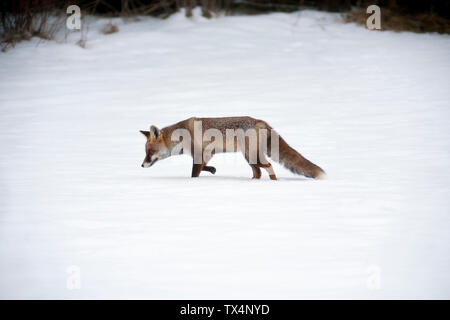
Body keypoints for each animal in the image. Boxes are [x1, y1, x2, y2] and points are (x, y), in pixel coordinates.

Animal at [139, 116, 326, 180]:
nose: (141, 165)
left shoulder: (198, 154)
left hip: (252, 156)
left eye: (150, 152)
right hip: (249, 157)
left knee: (268, 167)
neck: (182, 136)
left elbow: (194, 174)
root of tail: (262, 122)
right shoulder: (207, 153)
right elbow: (206, 167)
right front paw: (213, 170)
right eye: (146, 152)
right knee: (258, 173)